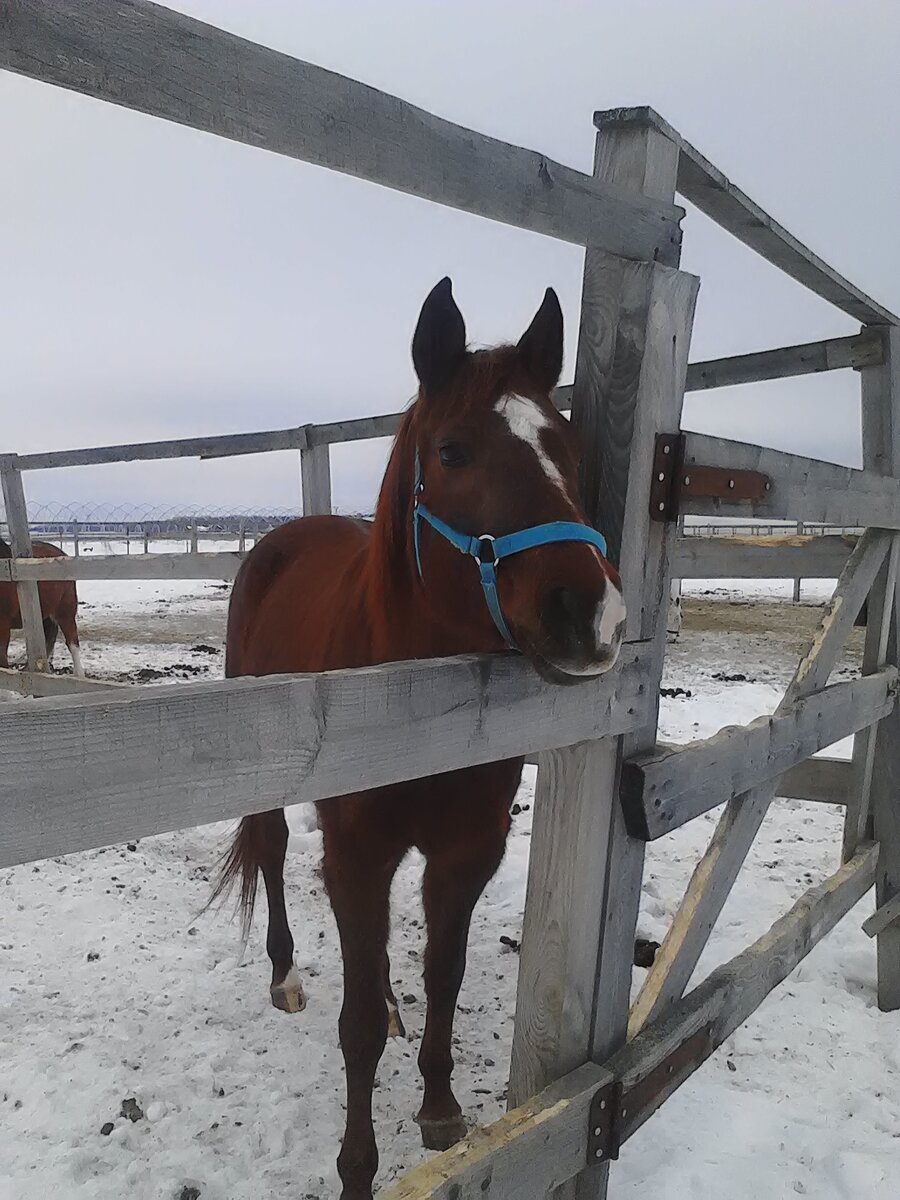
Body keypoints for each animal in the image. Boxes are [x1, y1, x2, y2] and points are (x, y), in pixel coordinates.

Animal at [218, 280, 628, 1200]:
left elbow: (445, 972)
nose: (592, 614)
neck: (417, 707)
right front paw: (357, 1170)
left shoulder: (465, 851)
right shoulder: (361, 854)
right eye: (452, 451)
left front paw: (440, 1106)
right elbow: (358, 1030)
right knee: (272, 851)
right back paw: (285, 973)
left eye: (568, 447)